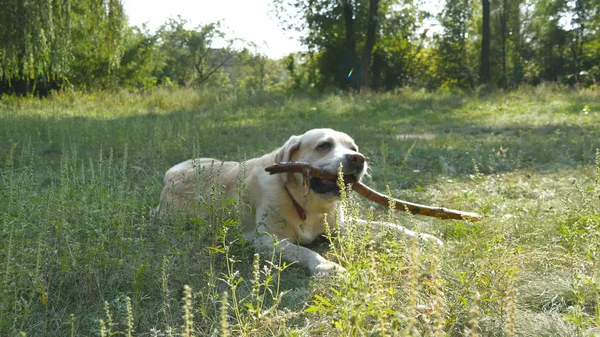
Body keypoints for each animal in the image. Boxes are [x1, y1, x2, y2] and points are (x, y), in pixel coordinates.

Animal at [155, 127, 440, 274]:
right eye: (324, 145)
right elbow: (306, 250)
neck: (308, 203)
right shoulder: (265, 239)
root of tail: (168, 178)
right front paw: (327, 266)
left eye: (354, 148)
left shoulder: (341, 227)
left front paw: (424, 237)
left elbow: (389, 226)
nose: (358, 159)